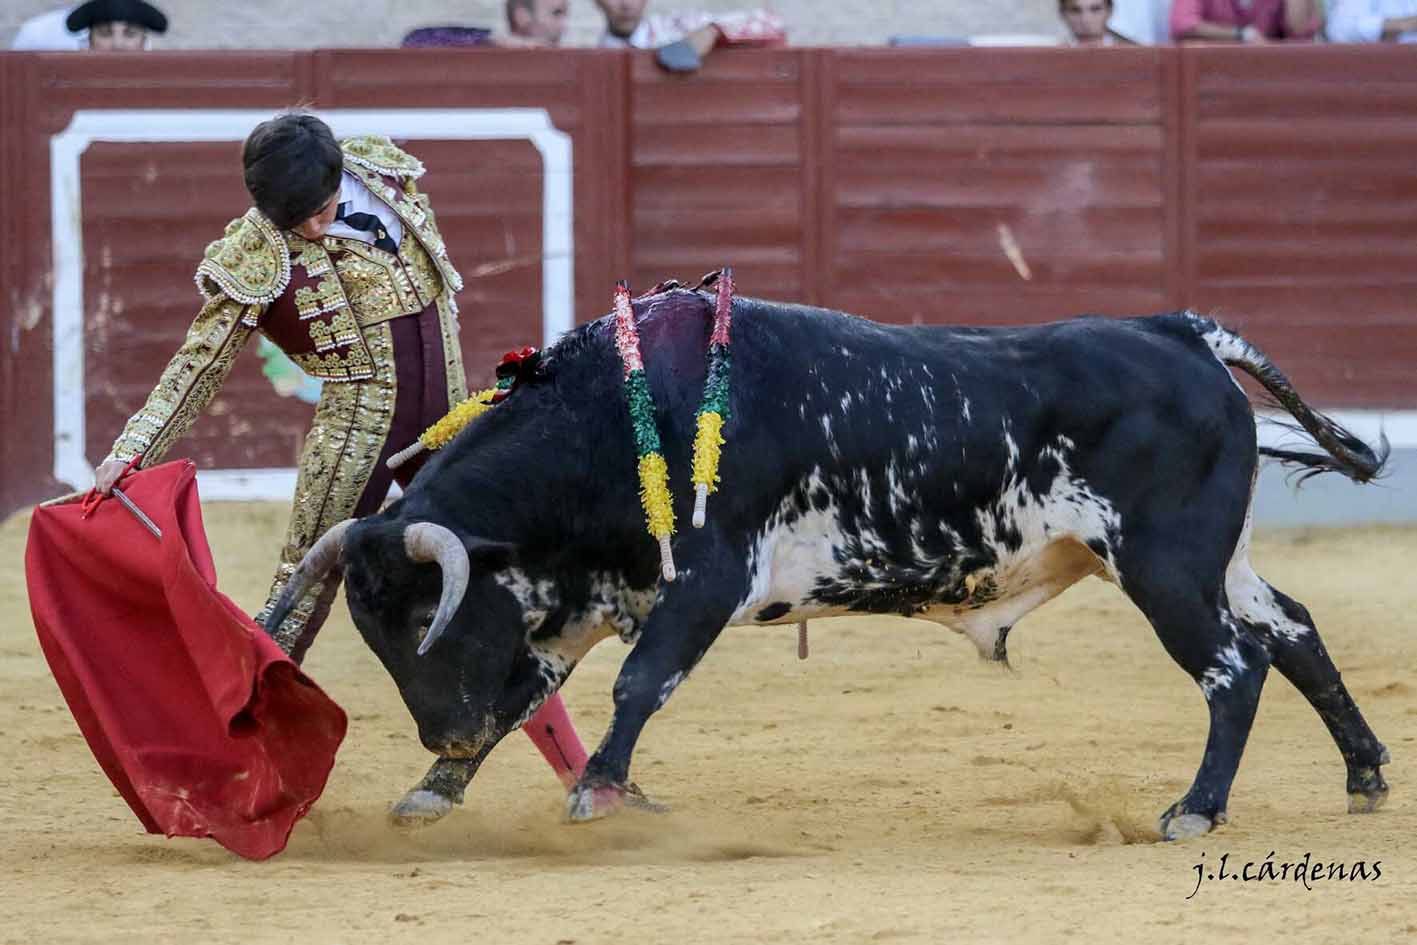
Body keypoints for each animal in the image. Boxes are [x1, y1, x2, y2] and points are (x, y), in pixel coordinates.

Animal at [263, 289, 1382, 844]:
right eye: (373, 632)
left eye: (427, 618)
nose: (438, 729)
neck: (607, 423)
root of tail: (1178, 331)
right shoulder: (573, 602)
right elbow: (522, 697)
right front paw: (435, 789)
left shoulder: (703, 581)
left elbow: (638, 683)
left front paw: (598, 793)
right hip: (1208, 562)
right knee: (1292, 630)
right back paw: (1365, 773)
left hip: (1162, 565)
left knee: (1233, 667)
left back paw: (1194, 809)